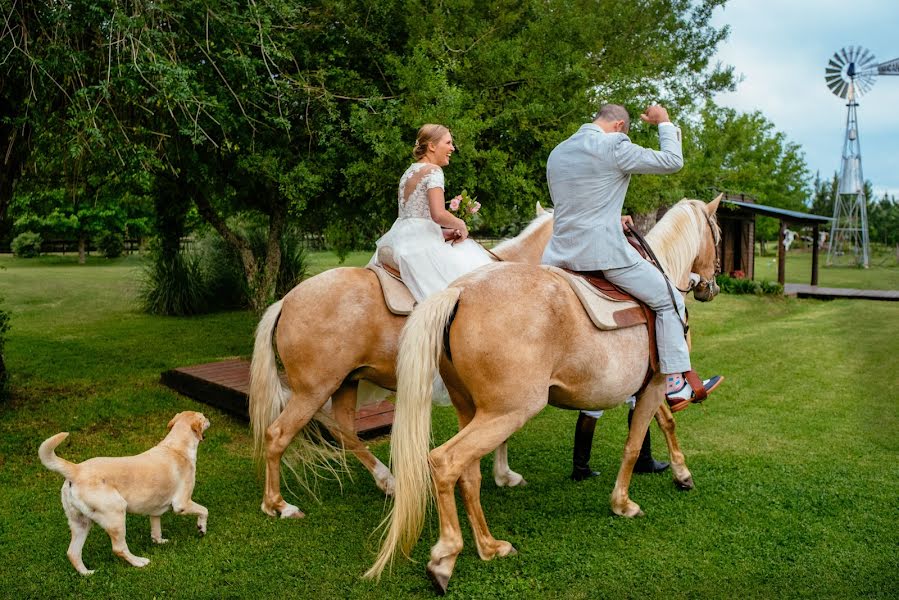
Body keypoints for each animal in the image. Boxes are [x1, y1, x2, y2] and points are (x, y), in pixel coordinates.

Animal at [39, 410, 211, 576]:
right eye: (203, 417)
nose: (210, 419)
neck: (175, 447)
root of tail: (76, 470)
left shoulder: (154, 511)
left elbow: (156, 530)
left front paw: (159, 541)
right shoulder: (182, 504)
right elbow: (204, 510)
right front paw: (201, 528)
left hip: (81, 523)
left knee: (72, 553)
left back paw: (87, 573)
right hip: (116, 515)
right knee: (119, 549)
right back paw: (139, 562)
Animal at [248, 204, 556, 516]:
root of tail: (285, 301)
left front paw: (502, 474)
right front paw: (504, 475)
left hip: (344, 383)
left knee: (343, 432)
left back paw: (388, 481)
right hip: (312, 391)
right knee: (277, 434)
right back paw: (278, 505)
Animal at [366, 196, 724, 592]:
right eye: (719, 233)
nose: (710, 285)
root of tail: (458, 292)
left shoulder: (646, 387)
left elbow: (661, 425)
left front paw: (679, 473)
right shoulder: (657, 383)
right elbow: (637, 442)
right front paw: (624, 503)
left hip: (471, 410)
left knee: (468, 473)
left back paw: (489, 546)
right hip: (507, 412)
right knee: (445, 462)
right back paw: (445, 557)